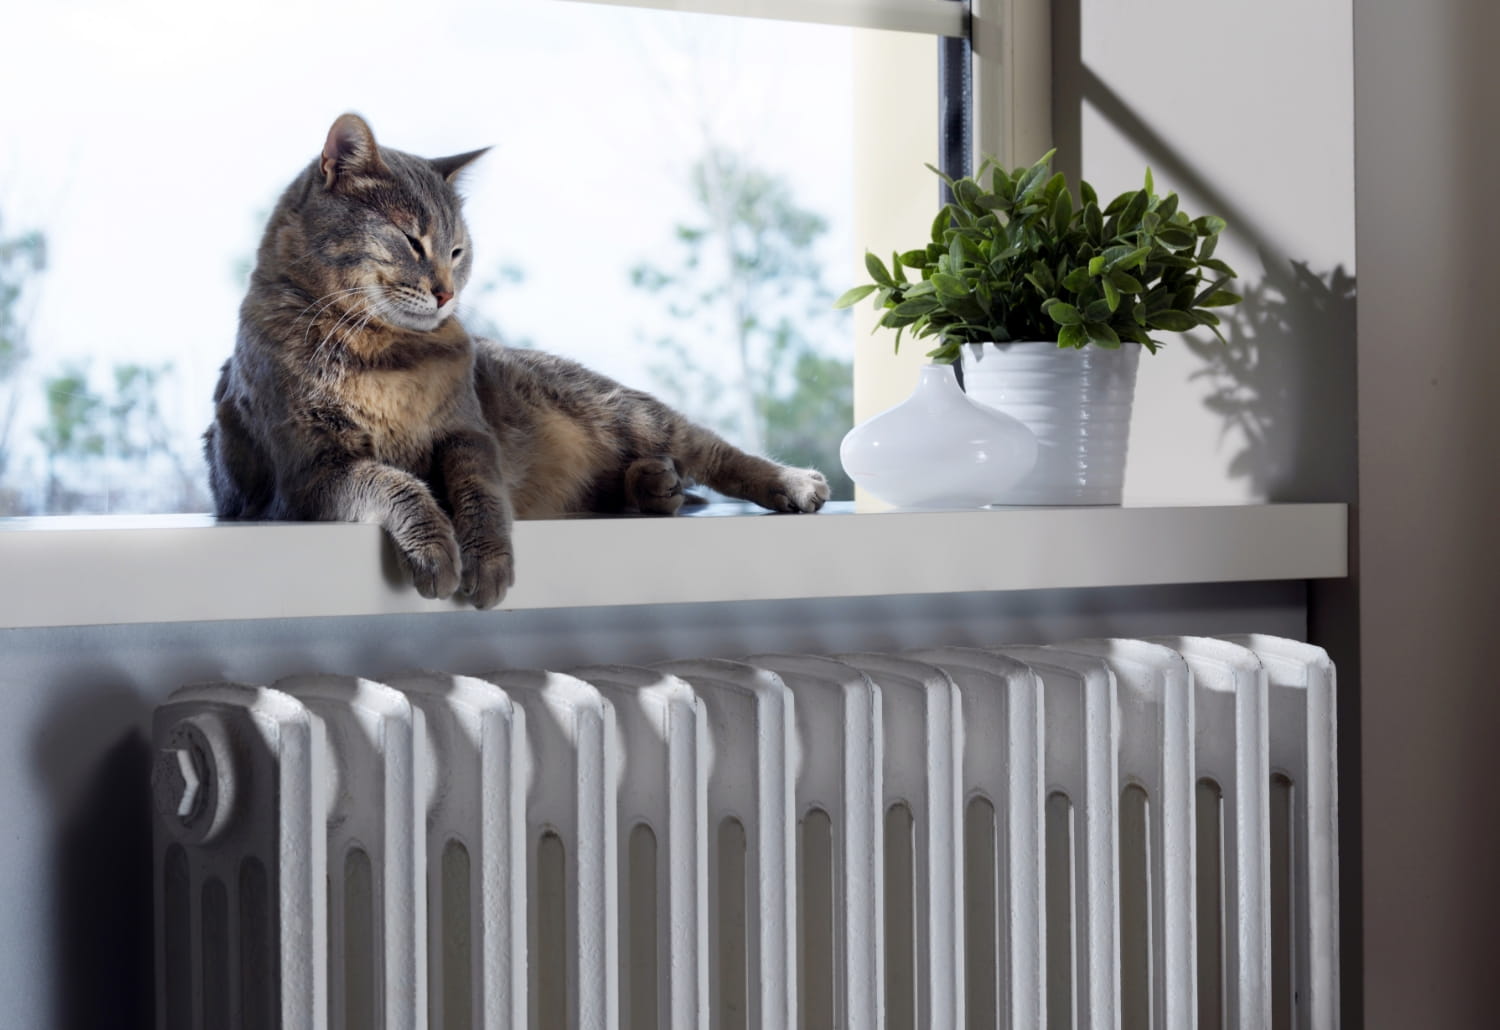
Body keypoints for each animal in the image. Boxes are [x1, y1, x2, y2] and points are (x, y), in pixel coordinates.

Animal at [205, 116, 834, 608]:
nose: (445, 293)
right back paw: (656, 484)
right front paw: (435, 546)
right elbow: (393, 483)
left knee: (708, 447)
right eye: (412, 240)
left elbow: (480, 491)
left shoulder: (467, 433)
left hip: (621, 409)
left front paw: (486, 560)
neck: (384, 355)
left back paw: (786, 481)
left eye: (458, 251)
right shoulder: (311, 473)